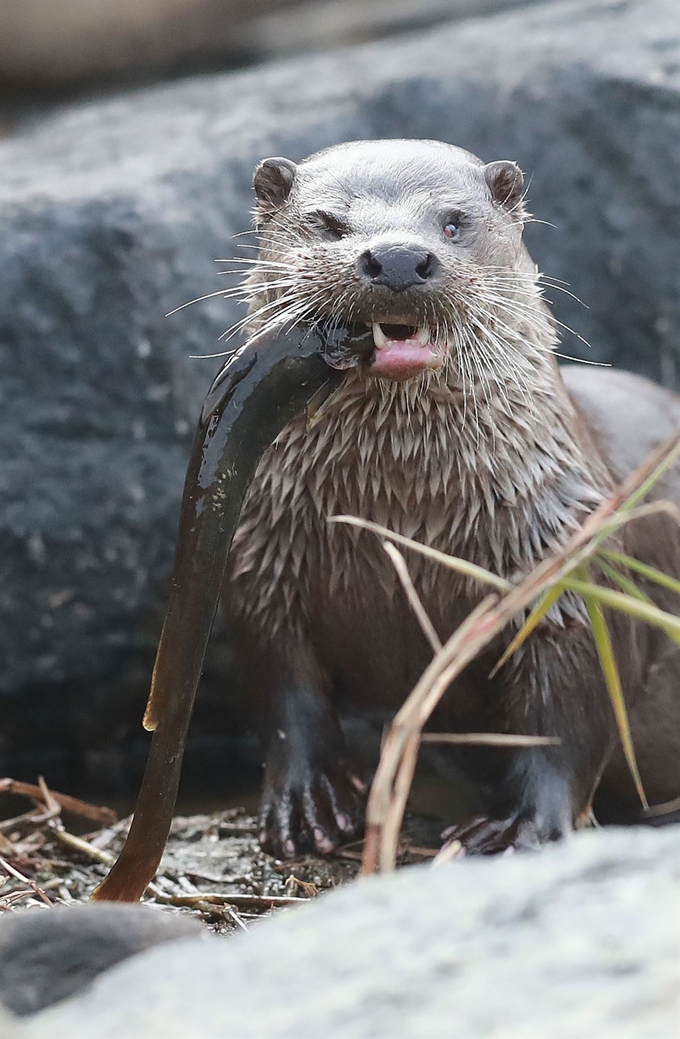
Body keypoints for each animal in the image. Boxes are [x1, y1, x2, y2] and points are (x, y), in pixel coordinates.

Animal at [222, 138, 677, 856]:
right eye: (329, 223)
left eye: (454, 222)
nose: (397, 258)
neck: (400, 523)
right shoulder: (262, 562)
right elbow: (283, 691)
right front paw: (307, 799)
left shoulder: (568, 565)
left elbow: (568, 715)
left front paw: (520, 826)